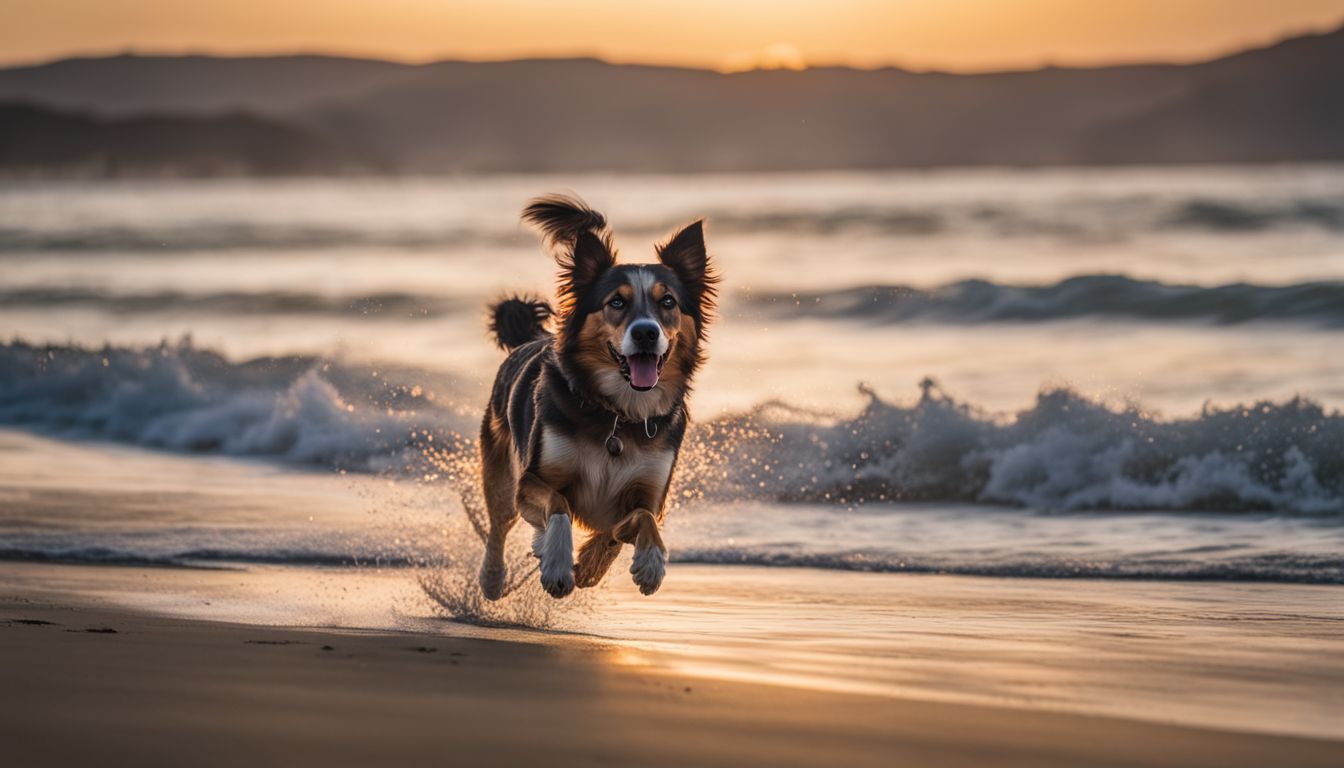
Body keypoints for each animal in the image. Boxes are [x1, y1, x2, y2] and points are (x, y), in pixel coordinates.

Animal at [481, 193, 720, 599]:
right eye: (617, 302)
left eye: (668, 302)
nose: (645, 333)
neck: (618, 414)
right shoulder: (533, 479)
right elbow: (558, 504)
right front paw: (558, 564)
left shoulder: (649, 492)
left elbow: (638, 521)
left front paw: (635, 564)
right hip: (500, 472)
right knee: (499, 524)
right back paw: (493, 578)